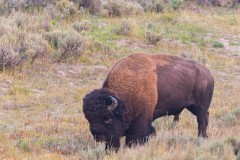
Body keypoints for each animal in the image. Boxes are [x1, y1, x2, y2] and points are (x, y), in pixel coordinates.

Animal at [83, 53, 214, 152]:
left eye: (108, 118)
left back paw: (201, 139)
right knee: (205, 118)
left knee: (201, 122)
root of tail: (207, 73)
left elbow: (135, 138)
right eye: (89, 119)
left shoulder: (141, 121)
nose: (99, 137)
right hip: (192, 107)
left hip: (200, 107)